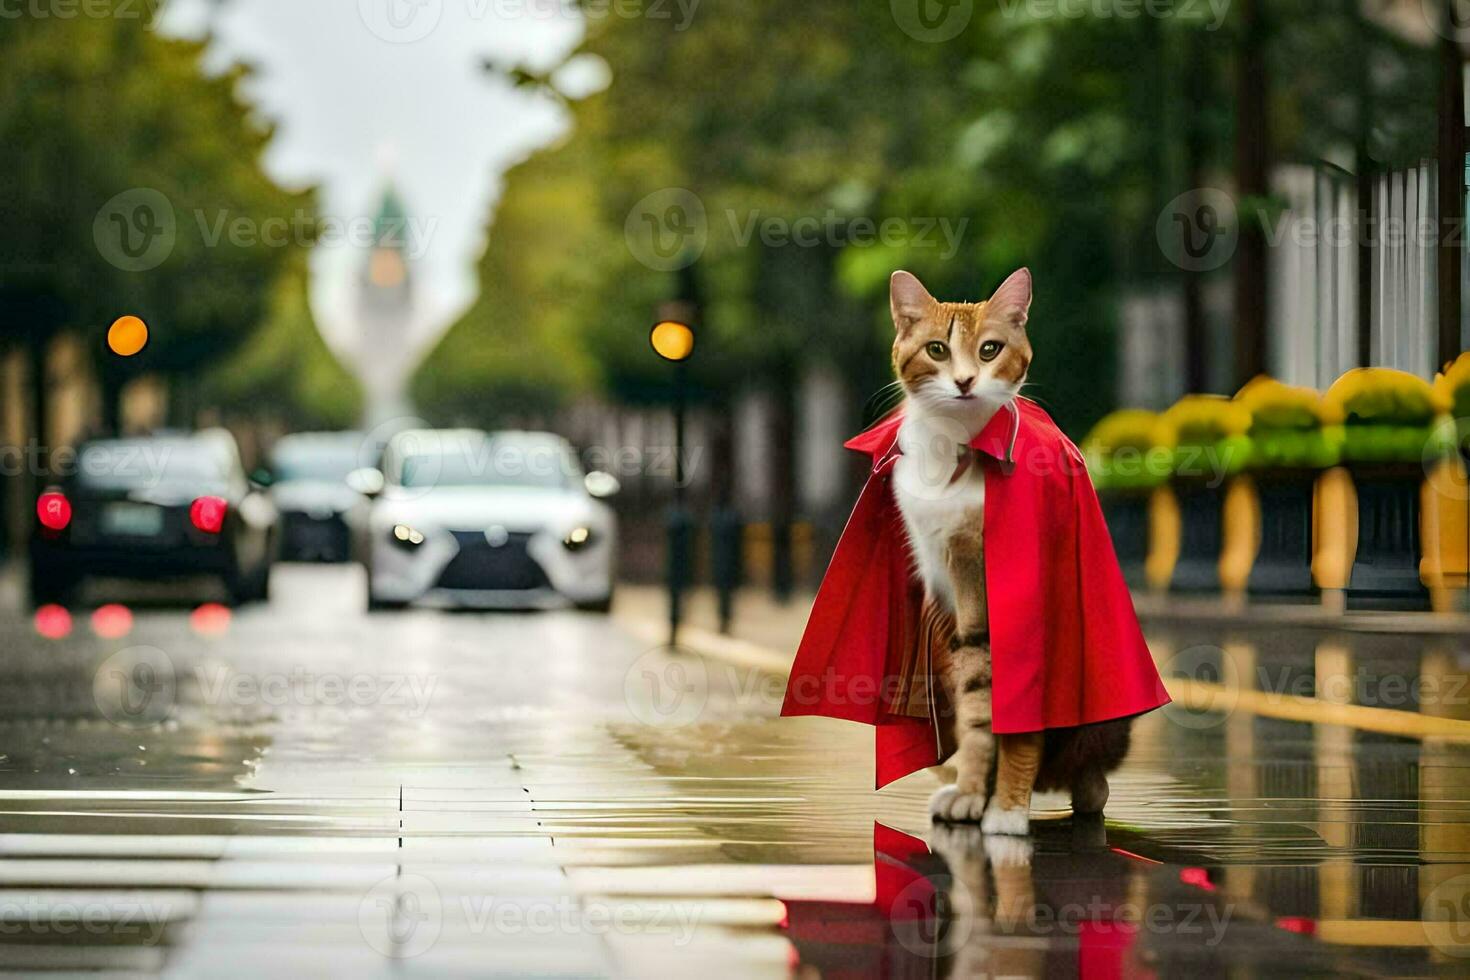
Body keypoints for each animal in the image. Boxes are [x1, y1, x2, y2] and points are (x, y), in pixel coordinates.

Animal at [882, 268, 1134, 834]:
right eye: (936, 349)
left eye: (990, 349)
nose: (964, 382)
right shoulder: (947, 586)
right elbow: (976, 698)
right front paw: (974, 791)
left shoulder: (1008, 587)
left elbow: (1011, 706)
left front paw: (1007, 808)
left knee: (1093, 781)